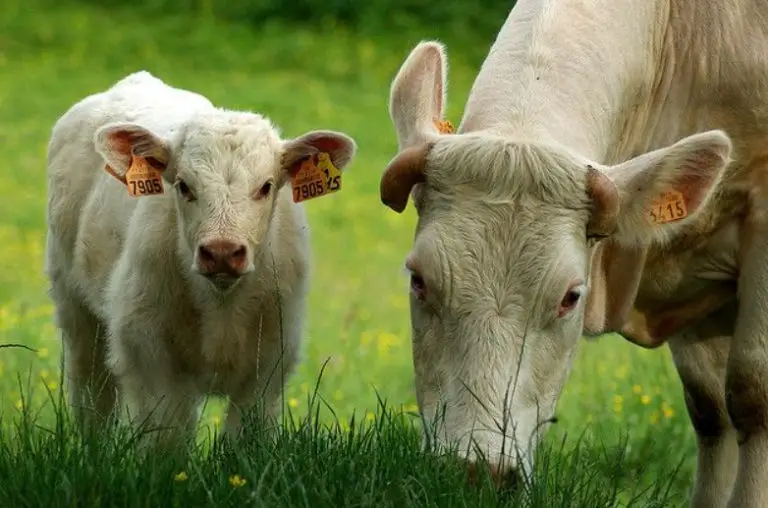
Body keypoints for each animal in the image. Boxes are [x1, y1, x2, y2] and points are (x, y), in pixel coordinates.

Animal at [45, 71, 356, 448]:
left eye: (266, 186)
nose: (221, 251)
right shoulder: (150, 356)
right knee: (92, 394)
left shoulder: (269, 366)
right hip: (75, 309)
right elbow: (168, 441)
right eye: (183, 185)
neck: (221, 307)